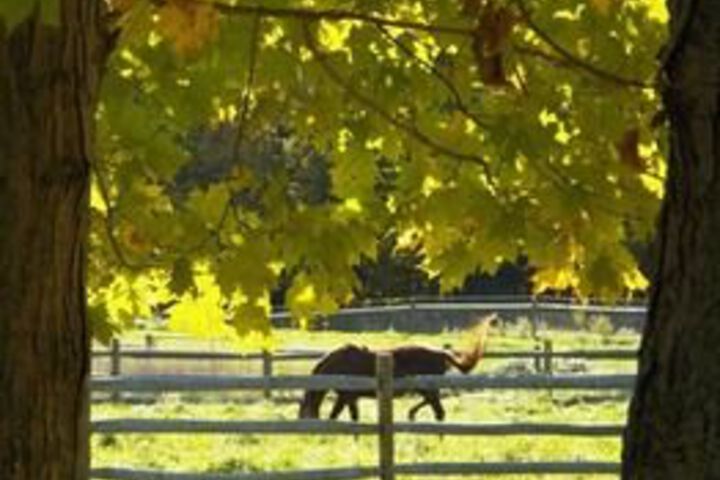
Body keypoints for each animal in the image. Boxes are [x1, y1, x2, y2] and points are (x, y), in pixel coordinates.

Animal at [297, 315, 494, 422]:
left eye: (303, 413)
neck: (339, 365)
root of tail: (441, 352)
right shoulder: (351, 398)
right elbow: (354, 418)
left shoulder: (345, 397)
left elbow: (335, 416)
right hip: (425, 389)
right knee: (434, 408)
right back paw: (412, 414)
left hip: (428, 388)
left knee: (439, 412)